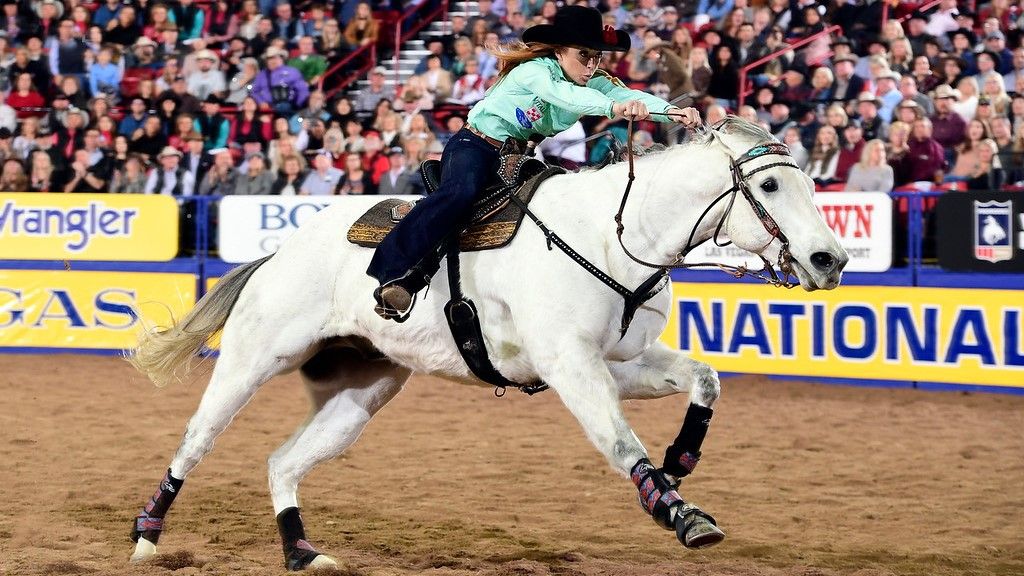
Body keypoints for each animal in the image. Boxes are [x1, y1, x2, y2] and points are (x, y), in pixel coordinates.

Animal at [125, 117, 847, 569]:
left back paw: (302, 552)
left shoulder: (616, 362)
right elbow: (620, 444)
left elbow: (705, 377)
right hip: (253, 360)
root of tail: (278, 253)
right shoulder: (570, 364)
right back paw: (146, 536)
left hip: (362, 392)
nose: (830, 259)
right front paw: (681, 514)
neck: (609, 235)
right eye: (771, 184)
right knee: (195, 441)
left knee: (282, 462)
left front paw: (681, 457)